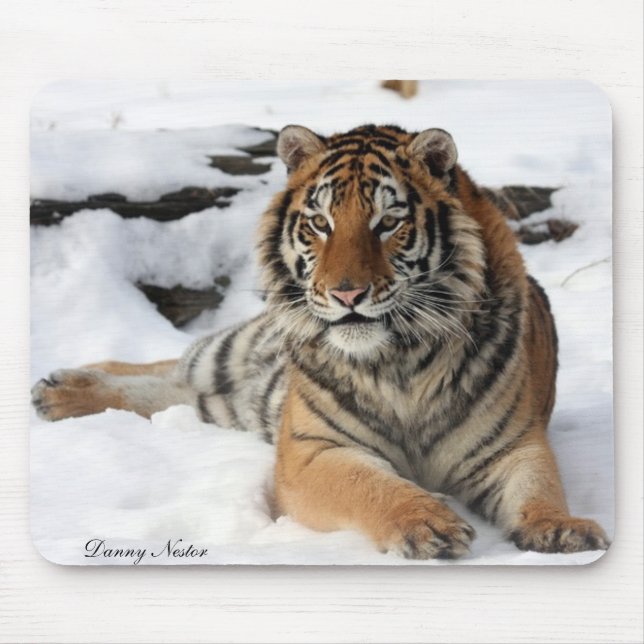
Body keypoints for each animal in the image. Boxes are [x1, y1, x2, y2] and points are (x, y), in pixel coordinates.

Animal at [31, 123, 610, 559]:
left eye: (388, 222)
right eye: (320, 223)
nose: (346, 292)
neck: (402, 360)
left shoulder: (515, 445)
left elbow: (540, 487)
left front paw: (562, 528)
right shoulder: (312, 449)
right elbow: (371, 485)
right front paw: (428, 524)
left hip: (224, 402)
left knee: (174, 392)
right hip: (232, 355)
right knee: (164, 366)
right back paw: (57, 389)